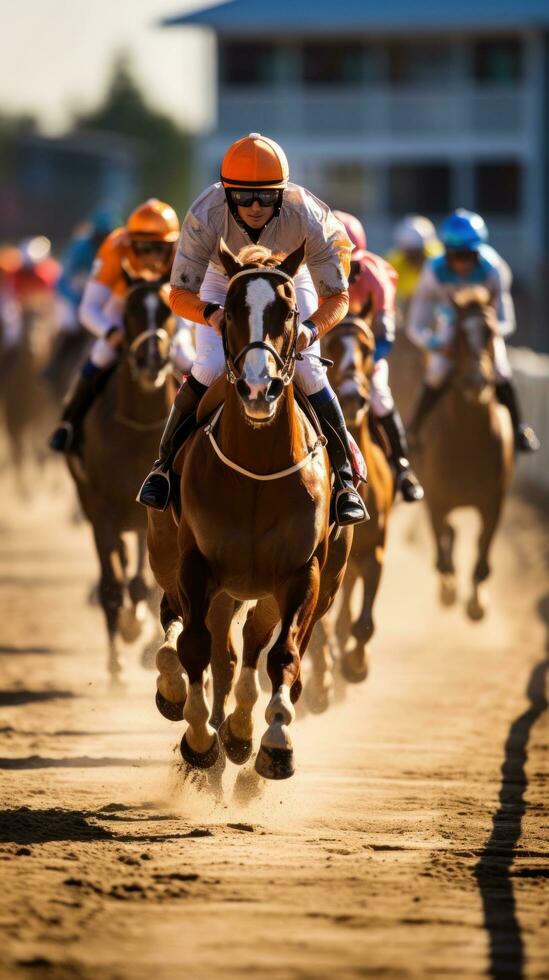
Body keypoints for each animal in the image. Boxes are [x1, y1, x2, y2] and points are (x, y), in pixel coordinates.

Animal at [67, 282, 177, 680]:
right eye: (130, 311)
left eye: (167, 311)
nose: (152, 360)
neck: (138, 427)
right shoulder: (102, 512)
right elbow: (112, 584)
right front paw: (117, 662)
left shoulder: (153, 514)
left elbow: (145, 583)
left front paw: (139, 632)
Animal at [148, 239, 348, 780]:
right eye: (233, 311)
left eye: (290, 311)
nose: (260, 389)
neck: (257, 469)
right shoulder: (196, 563)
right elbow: (196, 645)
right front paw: (199, 739)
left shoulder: (304, 573)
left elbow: (284, 654)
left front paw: (275, 741)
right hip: (167, 554)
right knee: (182, 624)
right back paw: (179, 692)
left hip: (310, 583)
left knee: (257, 644)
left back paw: (241, 730)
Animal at [416, 286, 512, 620]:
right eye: (458, 334)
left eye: (491, 332)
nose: (475, 381)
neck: (468, 442)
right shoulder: (434, 498)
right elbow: (441, 551)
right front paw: (448, 591)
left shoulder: (494, 501)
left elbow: (483, 548)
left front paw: (477, 603)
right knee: (449, 534)